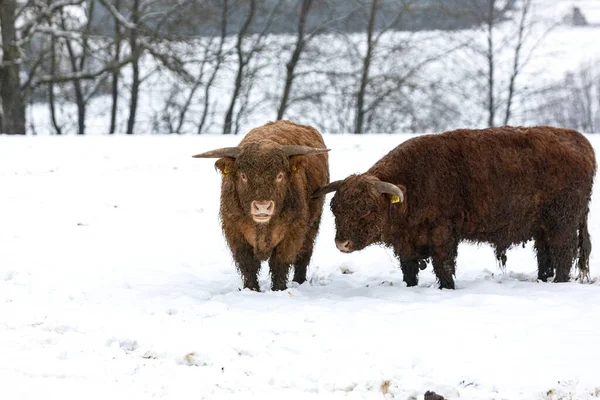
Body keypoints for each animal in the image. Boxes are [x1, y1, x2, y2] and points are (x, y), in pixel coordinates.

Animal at [192, 119, 330, 290]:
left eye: (280, 175)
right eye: (243, 175)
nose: (262, 207)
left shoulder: (293, 232)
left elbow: (280, 263)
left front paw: (279, 289)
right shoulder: (235, 232)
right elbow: (248, 264)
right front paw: (251, 289)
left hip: (313, 225)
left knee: (304, 253)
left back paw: (300, 281)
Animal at [314, 126, 596, 290]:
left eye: (367, 209)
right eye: (335, 209)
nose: (342, 243)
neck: (413, 183)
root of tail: (579, 141)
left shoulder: (443, 234)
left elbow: (444, 265)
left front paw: (447, 288)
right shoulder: (407, 242)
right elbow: (409, 269)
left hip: (563, 221)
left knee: (563, 252)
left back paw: (558, 282)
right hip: (543, 225)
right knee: (545, 254)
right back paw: (543, 279)